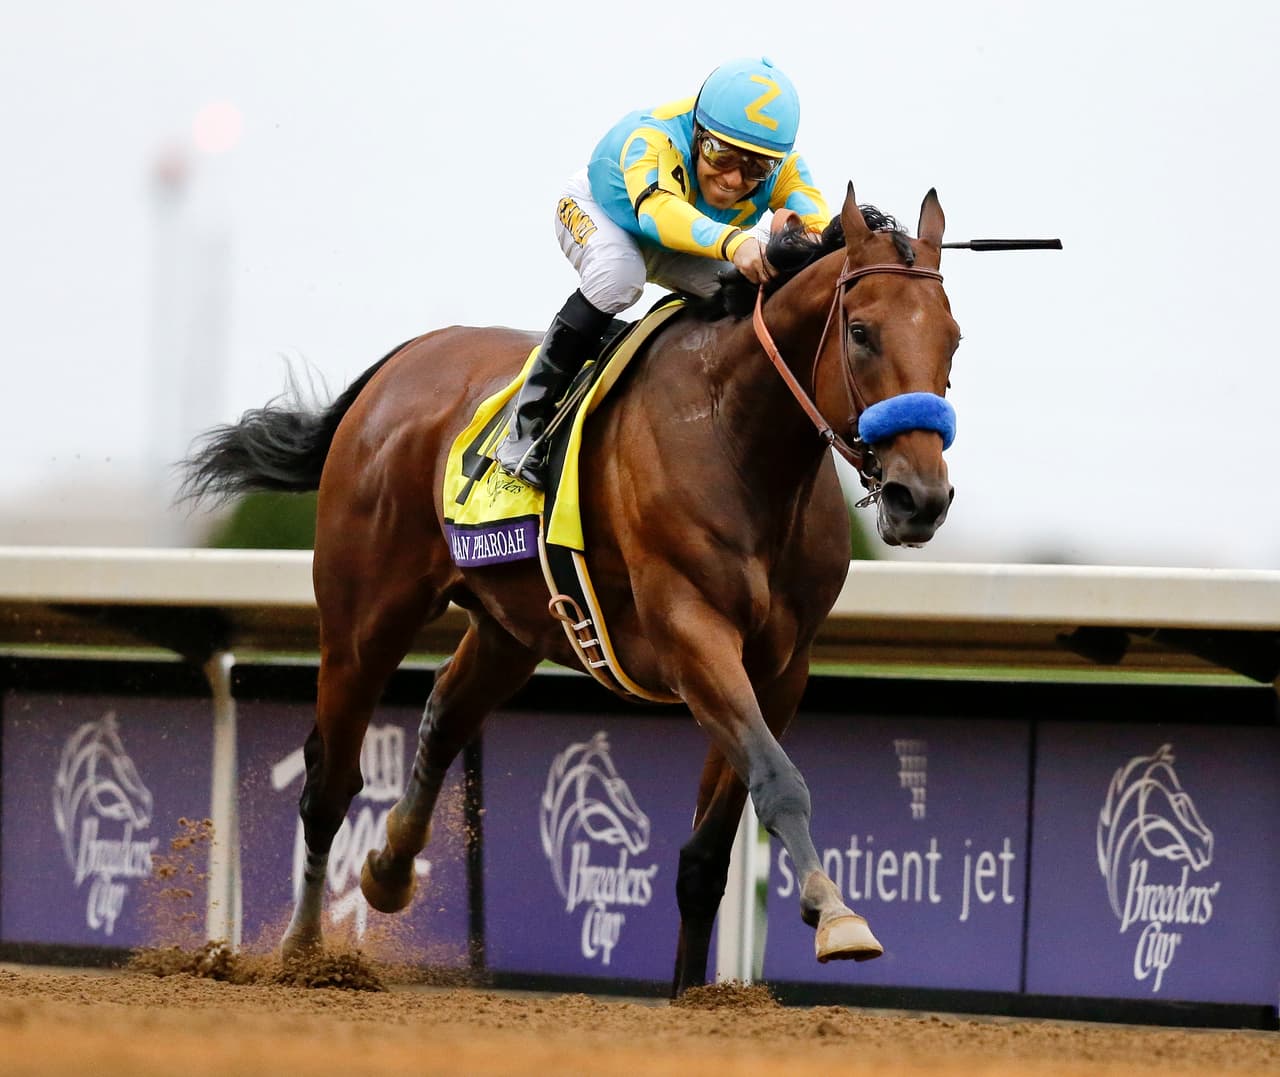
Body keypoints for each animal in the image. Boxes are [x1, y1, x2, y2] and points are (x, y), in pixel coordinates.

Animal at [182, 183, 961, 995]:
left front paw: (694, 995)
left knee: (443, 716)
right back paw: (304, 951)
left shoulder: (782, 665)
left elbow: (708, 854)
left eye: (953, 340)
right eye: (862, 332)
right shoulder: (692, 635)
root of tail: (402, 363)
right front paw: (836, 914)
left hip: (510, 627)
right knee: (329, 778)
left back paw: (389, 868)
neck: (735, 436)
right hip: (363, 618)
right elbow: (779, 780)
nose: (920, 498)